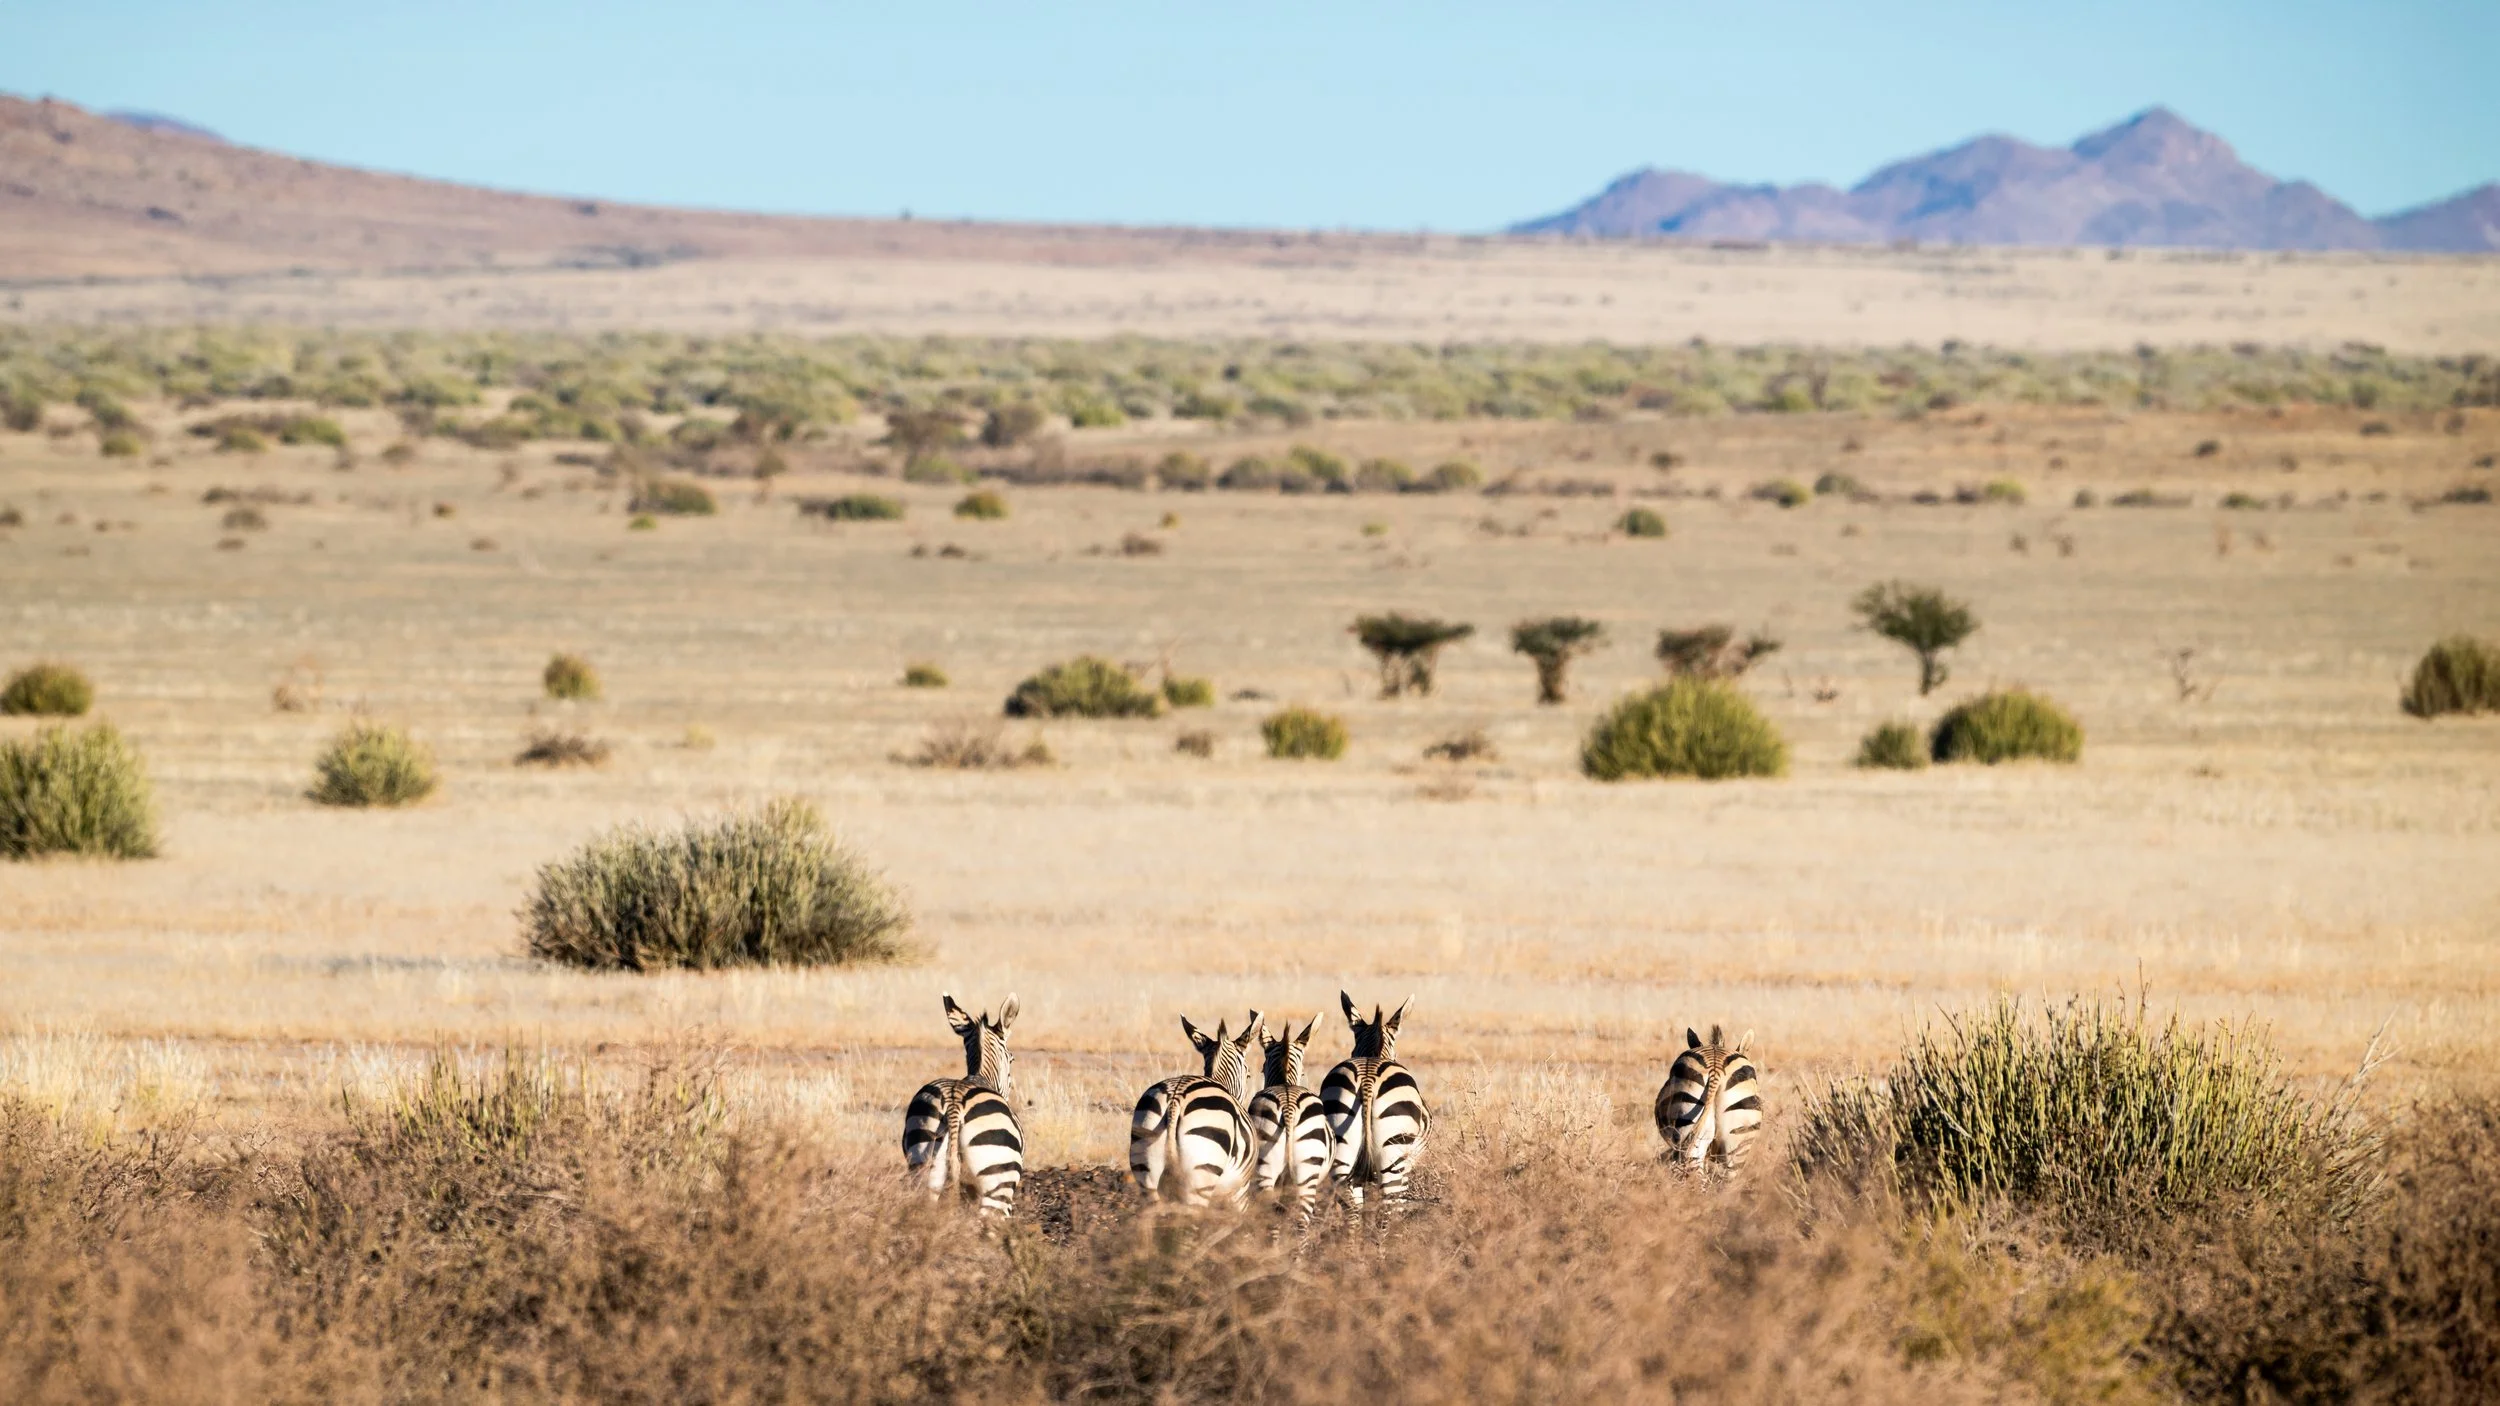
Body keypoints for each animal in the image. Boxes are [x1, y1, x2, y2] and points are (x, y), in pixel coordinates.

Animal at [1321, 992, 1427, 1208]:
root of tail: (1367, 1077)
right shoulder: (1407, 1165)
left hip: (1341, 1153)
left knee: (1352, 1208)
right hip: (1393, 1156)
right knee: (1390, 1206)